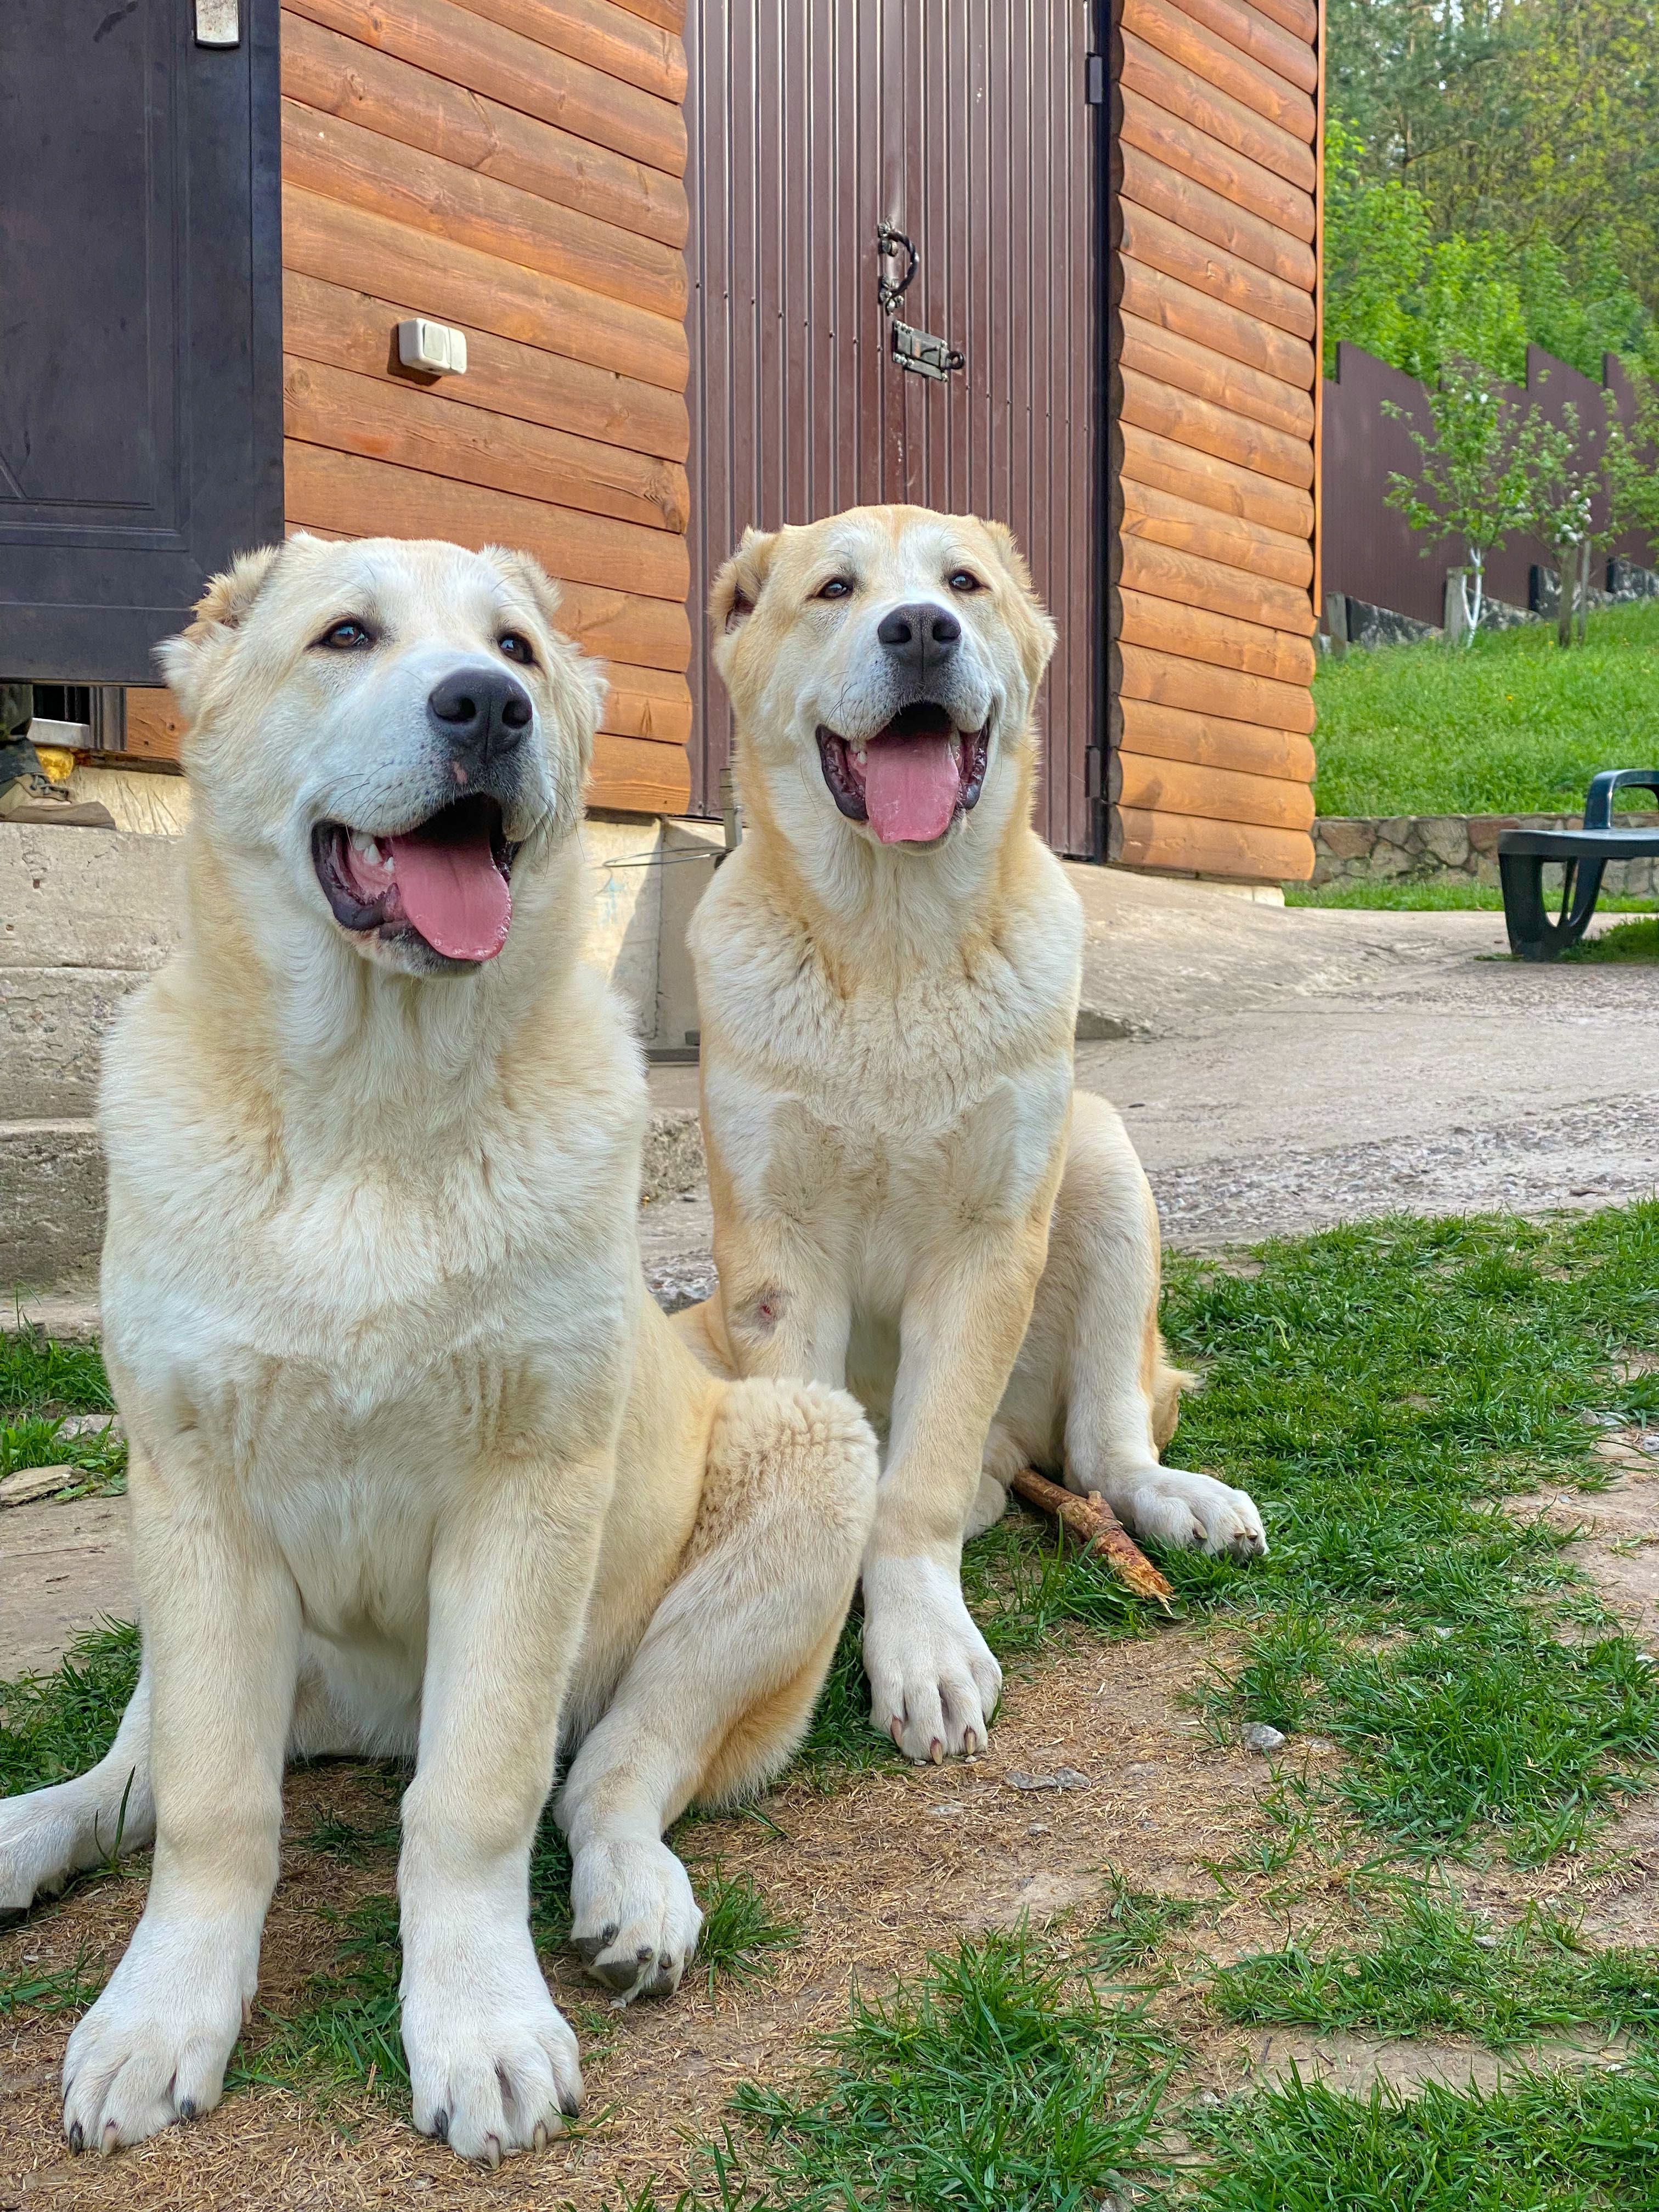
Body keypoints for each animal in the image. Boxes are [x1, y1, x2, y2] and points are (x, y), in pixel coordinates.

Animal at [0, 535, 884, 2159]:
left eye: (518, 650)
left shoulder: (528, 1496)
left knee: (610, 1774)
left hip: (805, 1464)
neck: (369, 1112)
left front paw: (479, 2027)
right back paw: (27, 1828)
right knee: (132, 1779)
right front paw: (161, 2017)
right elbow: (212, 1810)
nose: (487, 708)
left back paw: (634, 1899)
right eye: (346, 637)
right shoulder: (193, 1495)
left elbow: (474, 1800)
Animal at [681, 502, 1265, 1760]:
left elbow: (920, 1486)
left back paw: (1177, 1499)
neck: (892, 945)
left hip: (1100, 1157)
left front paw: (923, 1648)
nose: (919, 630)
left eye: (964, 583)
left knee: (1103, 1444)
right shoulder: (778, 1261)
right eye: (834, 589)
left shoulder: (986, 1246)